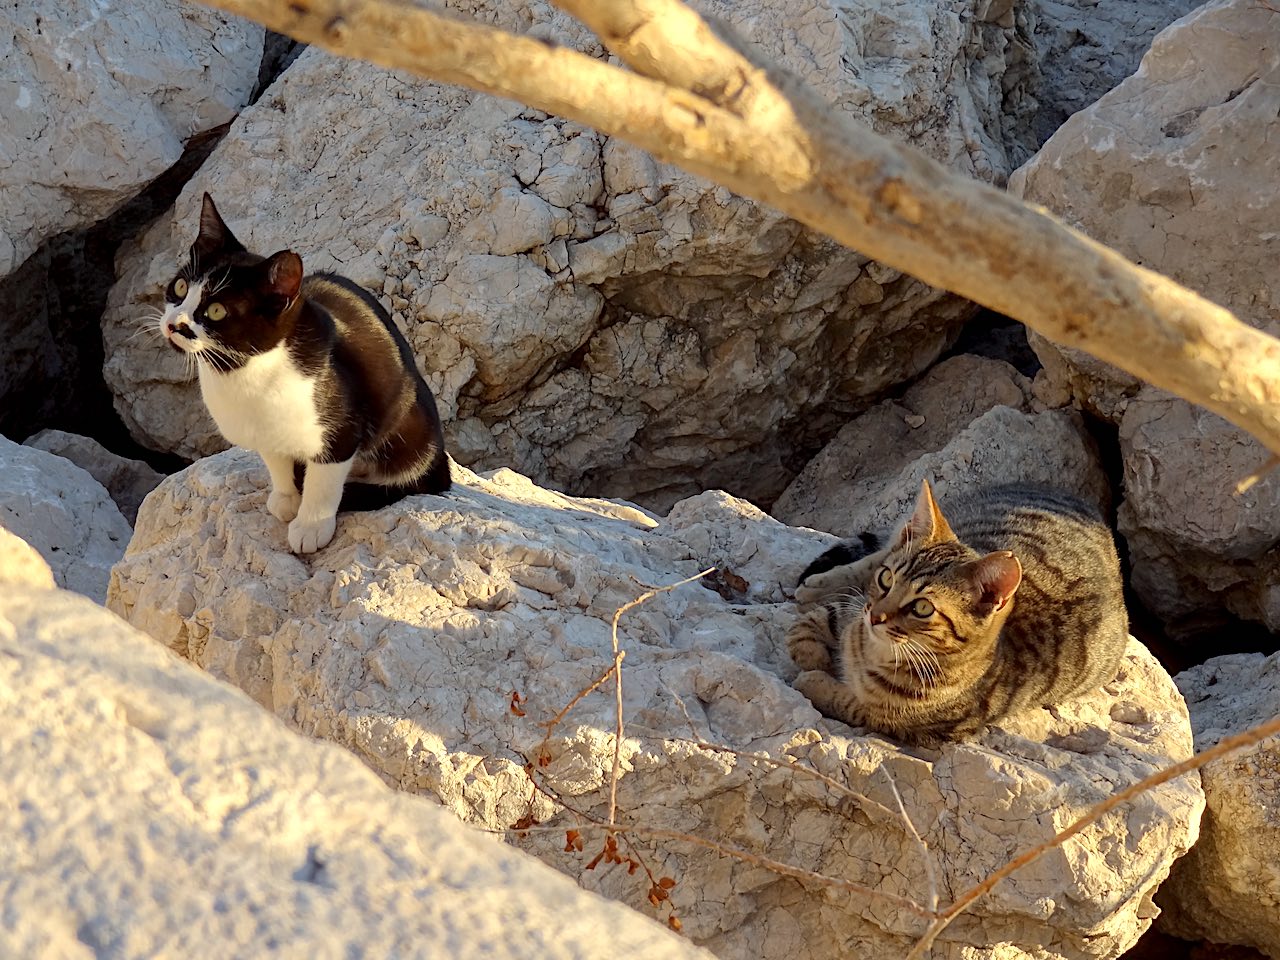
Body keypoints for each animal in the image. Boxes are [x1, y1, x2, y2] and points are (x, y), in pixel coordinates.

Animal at [158, 193, 450, 555]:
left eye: (216, 310)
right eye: (180, 286)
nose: (174, 325)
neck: (241, 373)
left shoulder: (342, 427)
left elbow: (323, 480)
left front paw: (310, 526)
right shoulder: (265, 431)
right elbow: (276, 461)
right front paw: (285, 498)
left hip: (409, 428)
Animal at [783, 481, 1126, 742]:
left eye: (922, 607)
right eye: (887, 579)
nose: (875, 616)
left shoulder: (906, 724)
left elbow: (849, 702)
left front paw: (814, 678)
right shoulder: (856, 610)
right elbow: (817, 621)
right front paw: (813, 653)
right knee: (884, 549)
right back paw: (817, 584)